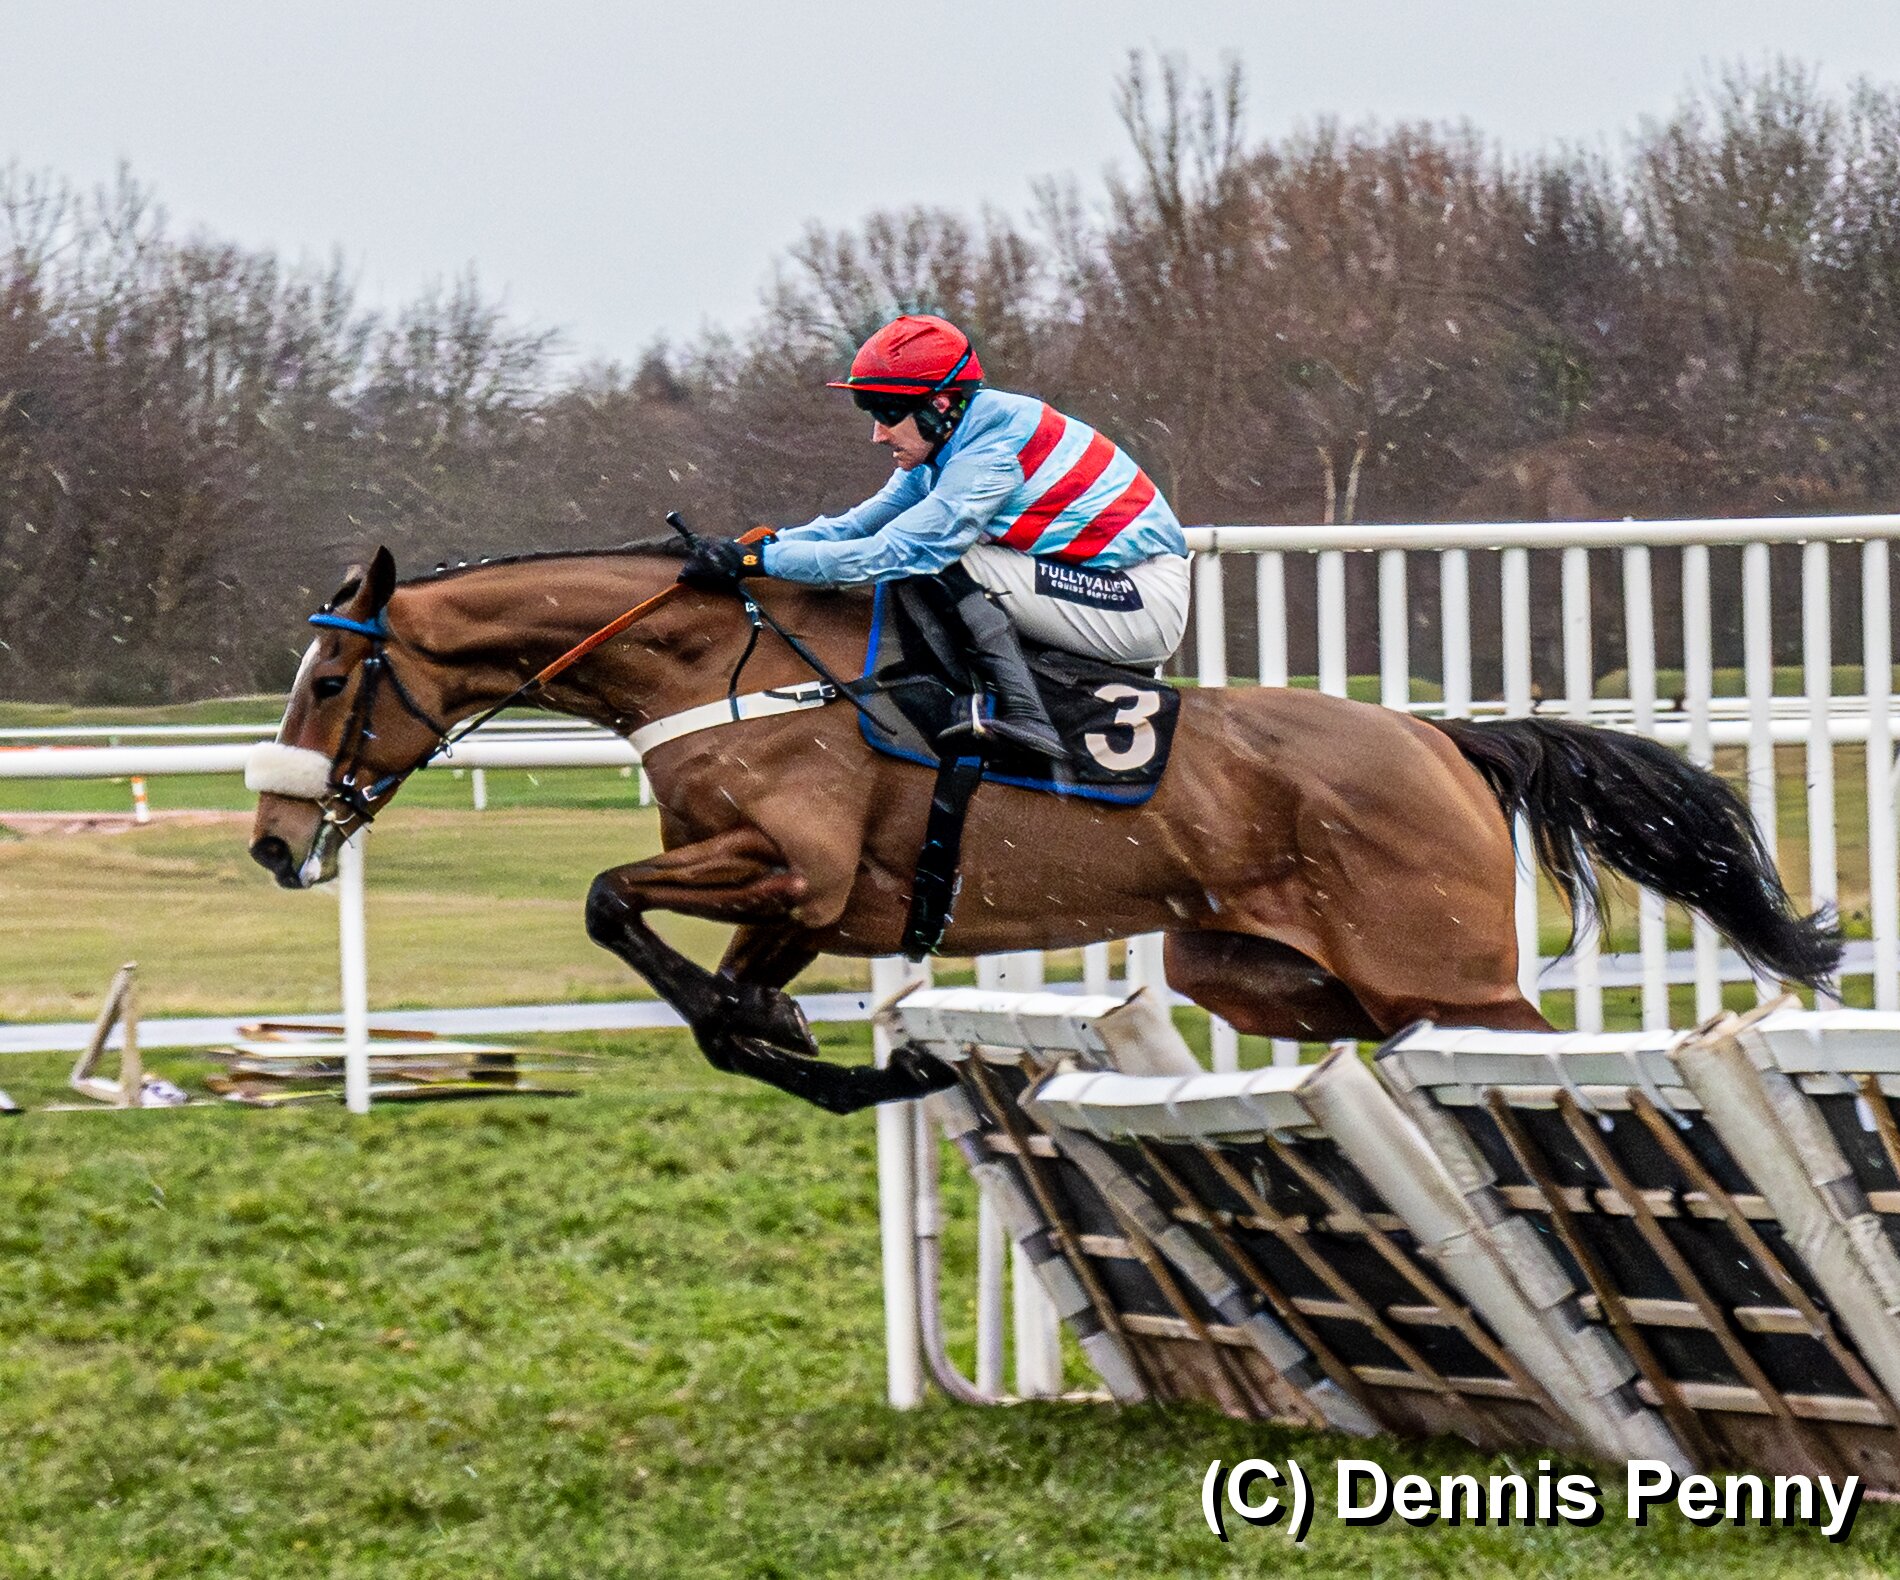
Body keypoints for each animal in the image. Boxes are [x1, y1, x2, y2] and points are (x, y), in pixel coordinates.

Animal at [247, 542, 1840, 1113]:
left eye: (328, 677)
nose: (272, 840)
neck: (717, 670)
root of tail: (1438, 737)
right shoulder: (813, 904)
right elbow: (720, 995)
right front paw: (829, 1058)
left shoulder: (793, 864)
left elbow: (603, 898)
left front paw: (821, 1053)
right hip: (1250, 967)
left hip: (1442, 967)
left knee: (1510, 1046)